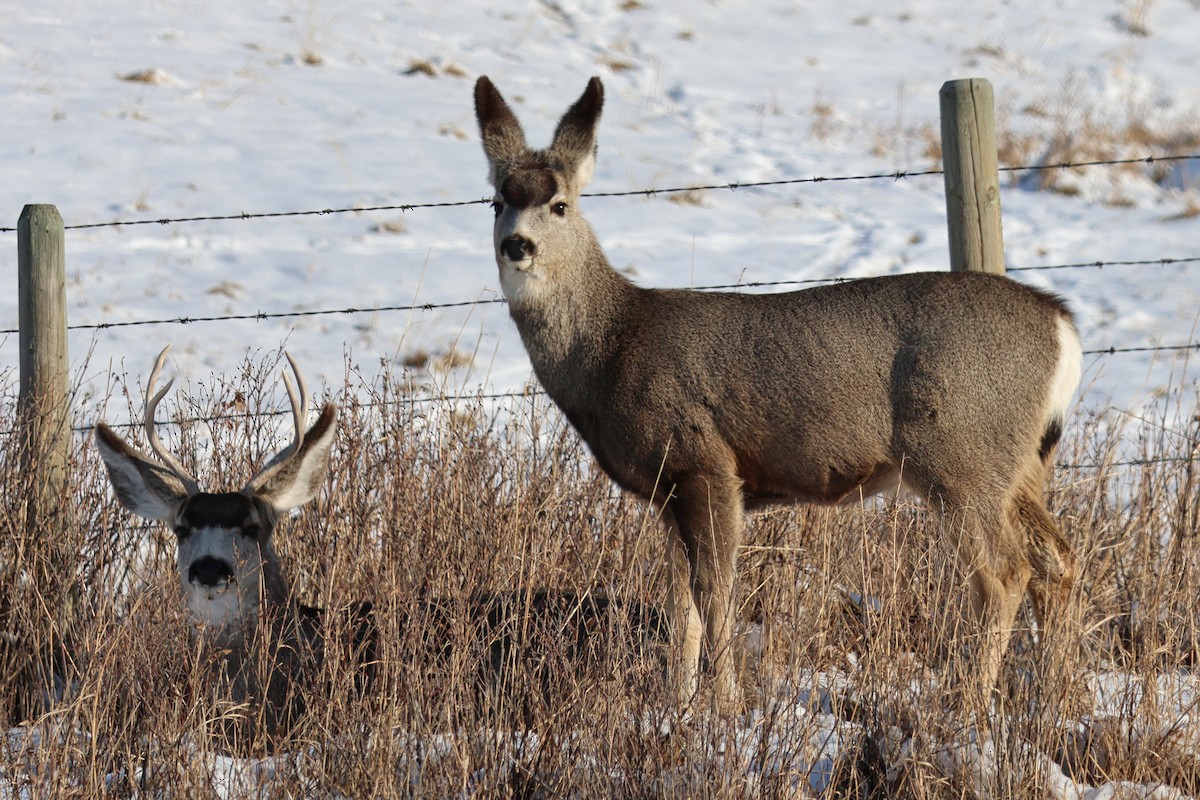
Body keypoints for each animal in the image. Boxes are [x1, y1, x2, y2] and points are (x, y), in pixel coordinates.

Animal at [473, 75, 1083, 711]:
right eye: (497, 202)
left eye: (559, 205)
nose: (517, 245)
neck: (613, 347)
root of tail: (1062, 326)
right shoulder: (666, 492)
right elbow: (679, 605)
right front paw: (677, 705)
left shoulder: (704, 461)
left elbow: (714, 593)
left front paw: (724, 706)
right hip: (1022, 464)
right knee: (1058, 561)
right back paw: (1056, 699)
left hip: (961, 454)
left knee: (1005, 572)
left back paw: (967, 708)